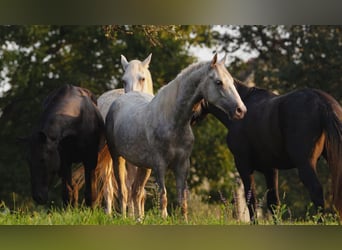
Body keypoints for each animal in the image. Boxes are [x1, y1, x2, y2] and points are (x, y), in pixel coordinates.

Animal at [105, 53, 247, 221]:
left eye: (231, 81)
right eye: (219, 82)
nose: (241, 110)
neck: (173, 121)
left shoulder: (182, 165)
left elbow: (182, 200)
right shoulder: (160, 165)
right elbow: (163, 196)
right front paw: (163, 218)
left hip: (143, 166)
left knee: (137, 191)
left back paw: (139, 219)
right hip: (117, 158)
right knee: (123, 190)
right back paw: (124, 217)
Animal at [192, 78, 342, 223]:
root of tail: (321, 101)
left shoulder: (243, 164)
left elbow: (251, 199)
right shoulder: (270, 169)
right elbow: (273, 202)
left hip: (305, 163)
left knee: (316, 192)